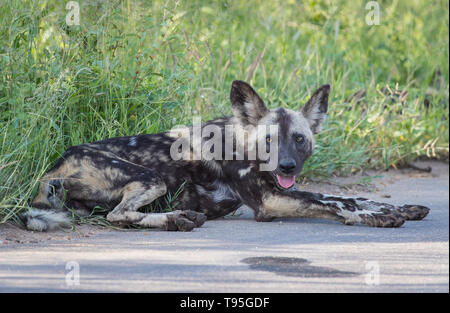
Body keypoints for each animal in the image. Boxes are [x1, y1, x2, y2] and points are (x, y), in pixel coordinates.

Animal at [22, 80, 430, 232]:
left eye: (299, 139)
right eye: (269, 140)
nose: (287, 165)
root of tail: (51, 169)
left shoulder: (281, 189)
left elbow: (347, 196)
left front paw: (400, 208)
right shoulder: (269, 201)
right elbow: (331, 201)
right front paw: (376, 218)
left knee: (117, 215)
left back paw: (181, 218)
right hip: (152, 178)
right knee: (118, 215)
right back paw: (176, 220)